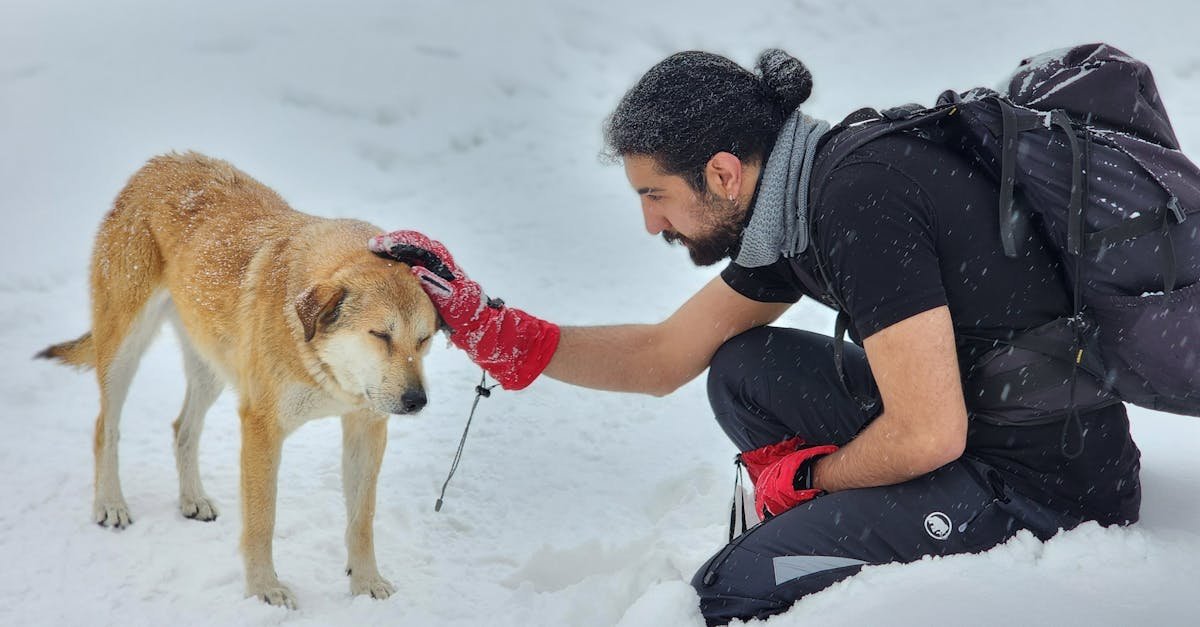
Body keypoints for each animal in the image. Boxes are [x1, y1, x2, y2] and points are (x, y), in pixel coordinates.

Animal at [37, 151, 441, 605]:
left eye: (424, 339)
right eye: (380, 335)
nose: (416, 401)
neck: (318, 363)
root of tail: (156, 163)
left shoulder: (365, 428)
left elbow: (362, 520)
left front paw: (367, 583)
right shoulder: (261, 428)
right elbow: (263, 521)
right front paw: (265, 590)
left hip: (213, 367)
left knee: (182, 428)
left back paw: (192, 499)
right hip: (125, 352)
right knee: (105, 427)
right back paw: (110, 503)